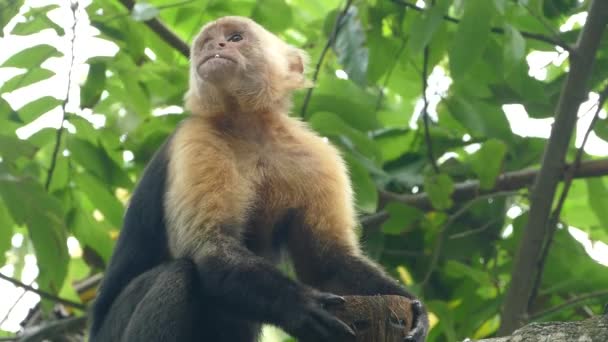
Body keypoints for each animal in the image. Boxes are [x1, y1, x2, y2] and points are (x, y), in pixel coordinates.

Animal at [91, 15, 432, 342]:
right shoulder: (196, 138)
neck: (250, 128)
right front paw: (299, 306)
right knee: (177, 275)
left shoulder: (318, 156)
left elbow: (326, 263)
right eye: (205, 44)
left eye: (235, 38)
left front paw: (416, 310)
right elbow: (208, 244)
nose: (215, 46)